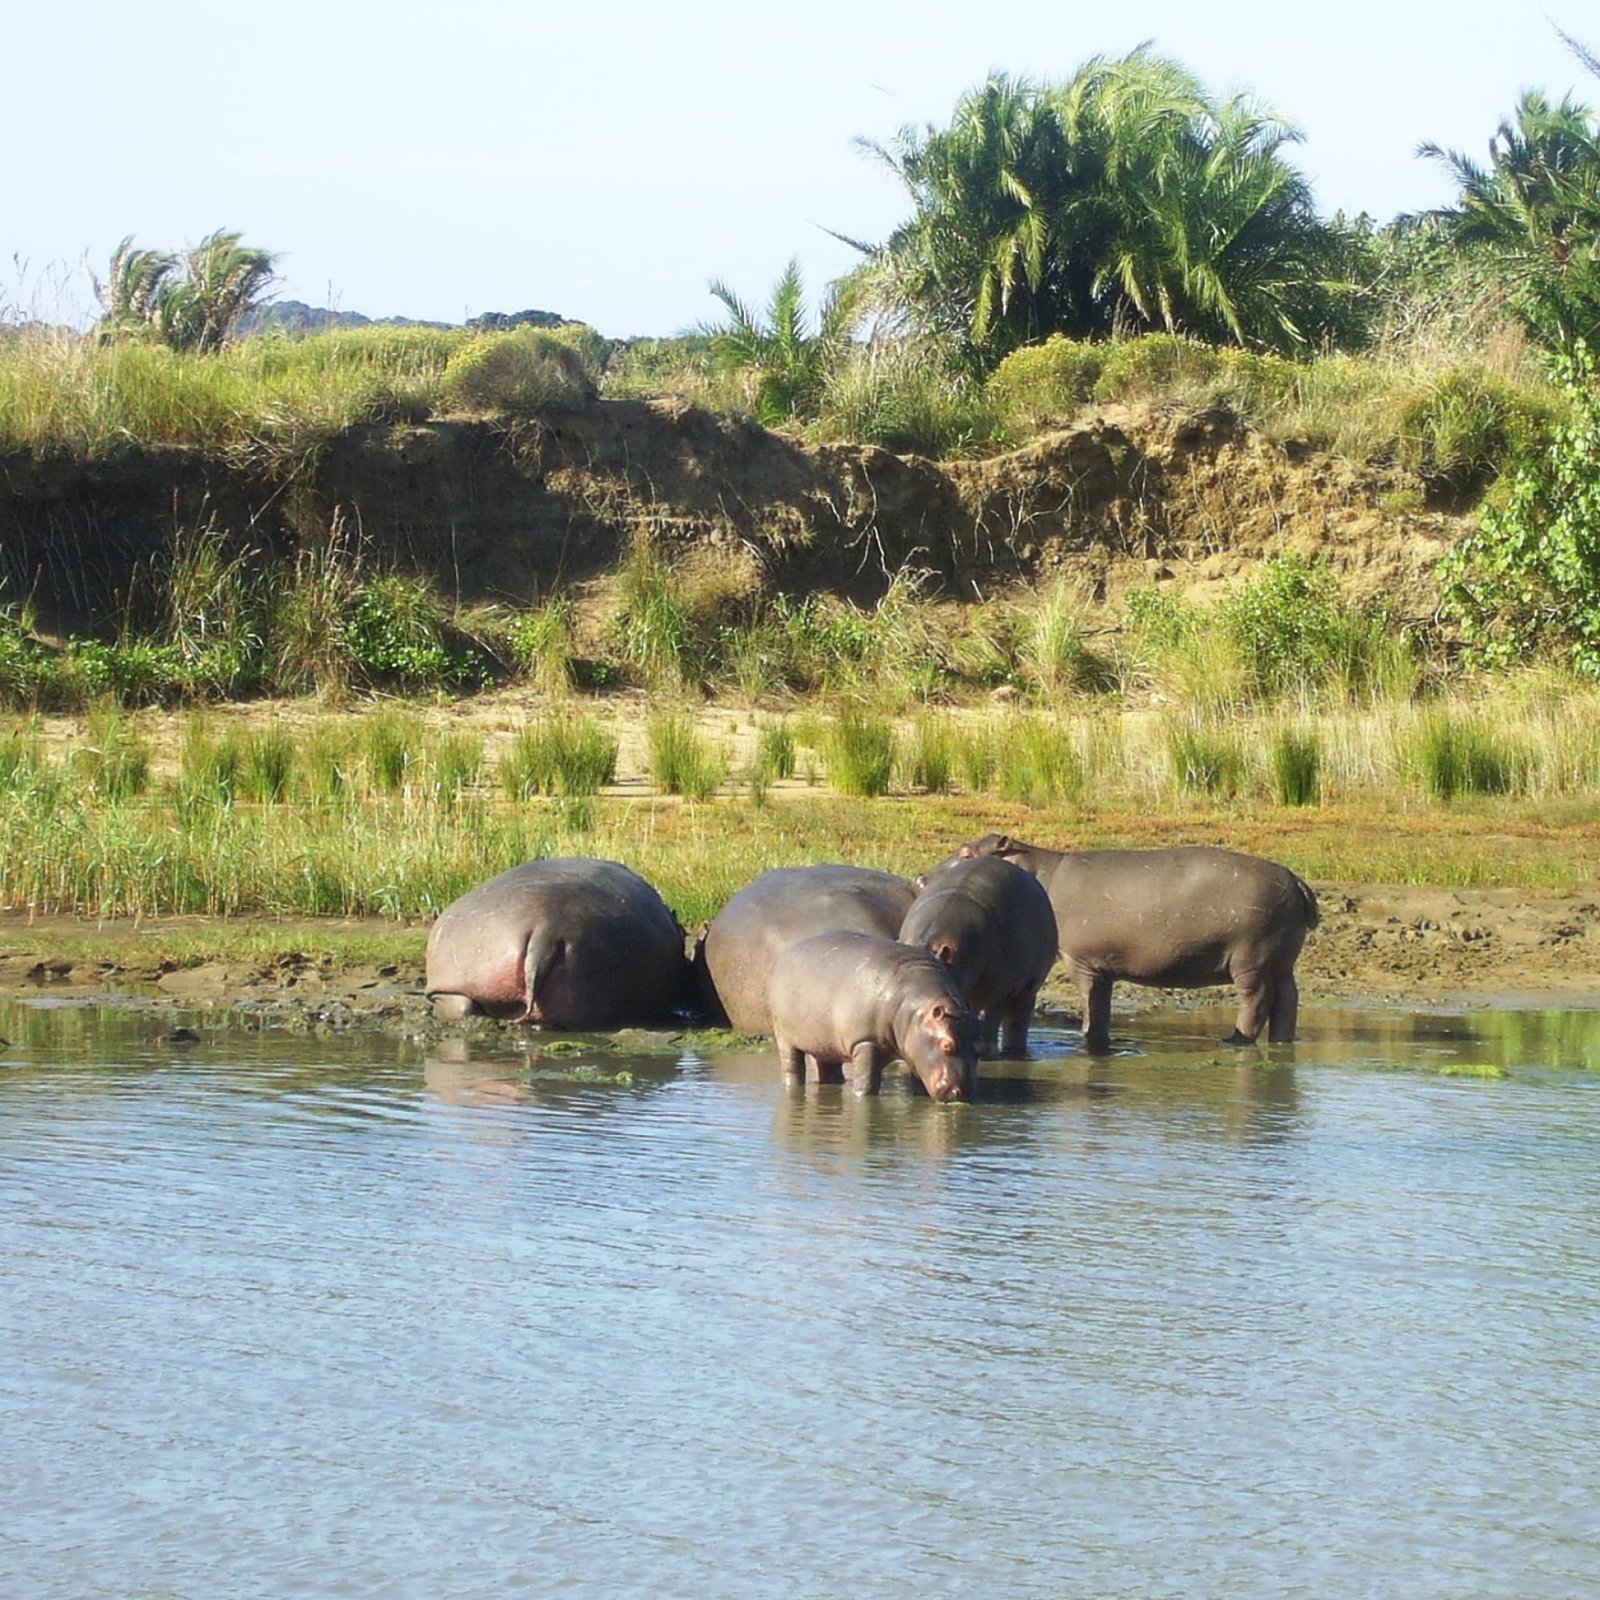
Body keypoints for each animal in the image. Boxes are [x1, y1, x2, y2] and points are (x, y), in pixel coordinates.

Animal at [768, 928, 979, 1100]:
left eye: (978, 1048)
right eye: (947, 1046)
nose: (963, 1092)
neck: (912, 1010)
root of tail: (785, 954)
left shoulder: (916, 1049)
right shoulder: (864, 1041)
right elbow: (867, 1078)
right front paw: (862, 1096)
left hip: (825, 1042)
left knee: (829, 1068)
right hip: (784, 1037)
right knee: (792, 1065)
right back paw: (792, 1085)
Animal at [902, 857, 1062, 1056]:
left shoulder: (998, 986)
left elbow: (987, 1013)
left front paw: (983, 1049)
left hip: (1027, 989)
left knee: (1014, 1020)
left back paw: (1012, 1050)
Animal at [934, 838, 1312, 1049]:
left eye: (966, 853)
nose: (924, 877)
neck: (1037, 868)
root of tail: (1296, 880)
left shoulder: (1081, 961)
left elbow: (1091, 1002)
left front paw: (1088, 1038)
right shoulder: (1102, 965)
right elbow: (1101, 1007)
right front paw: (1096, 1041)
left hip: (1251, 960)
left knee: (1257, 999)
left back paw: (1234, 1040)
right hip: (1281, 960)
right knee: (1287, 1000)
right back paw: (1281, 1042)